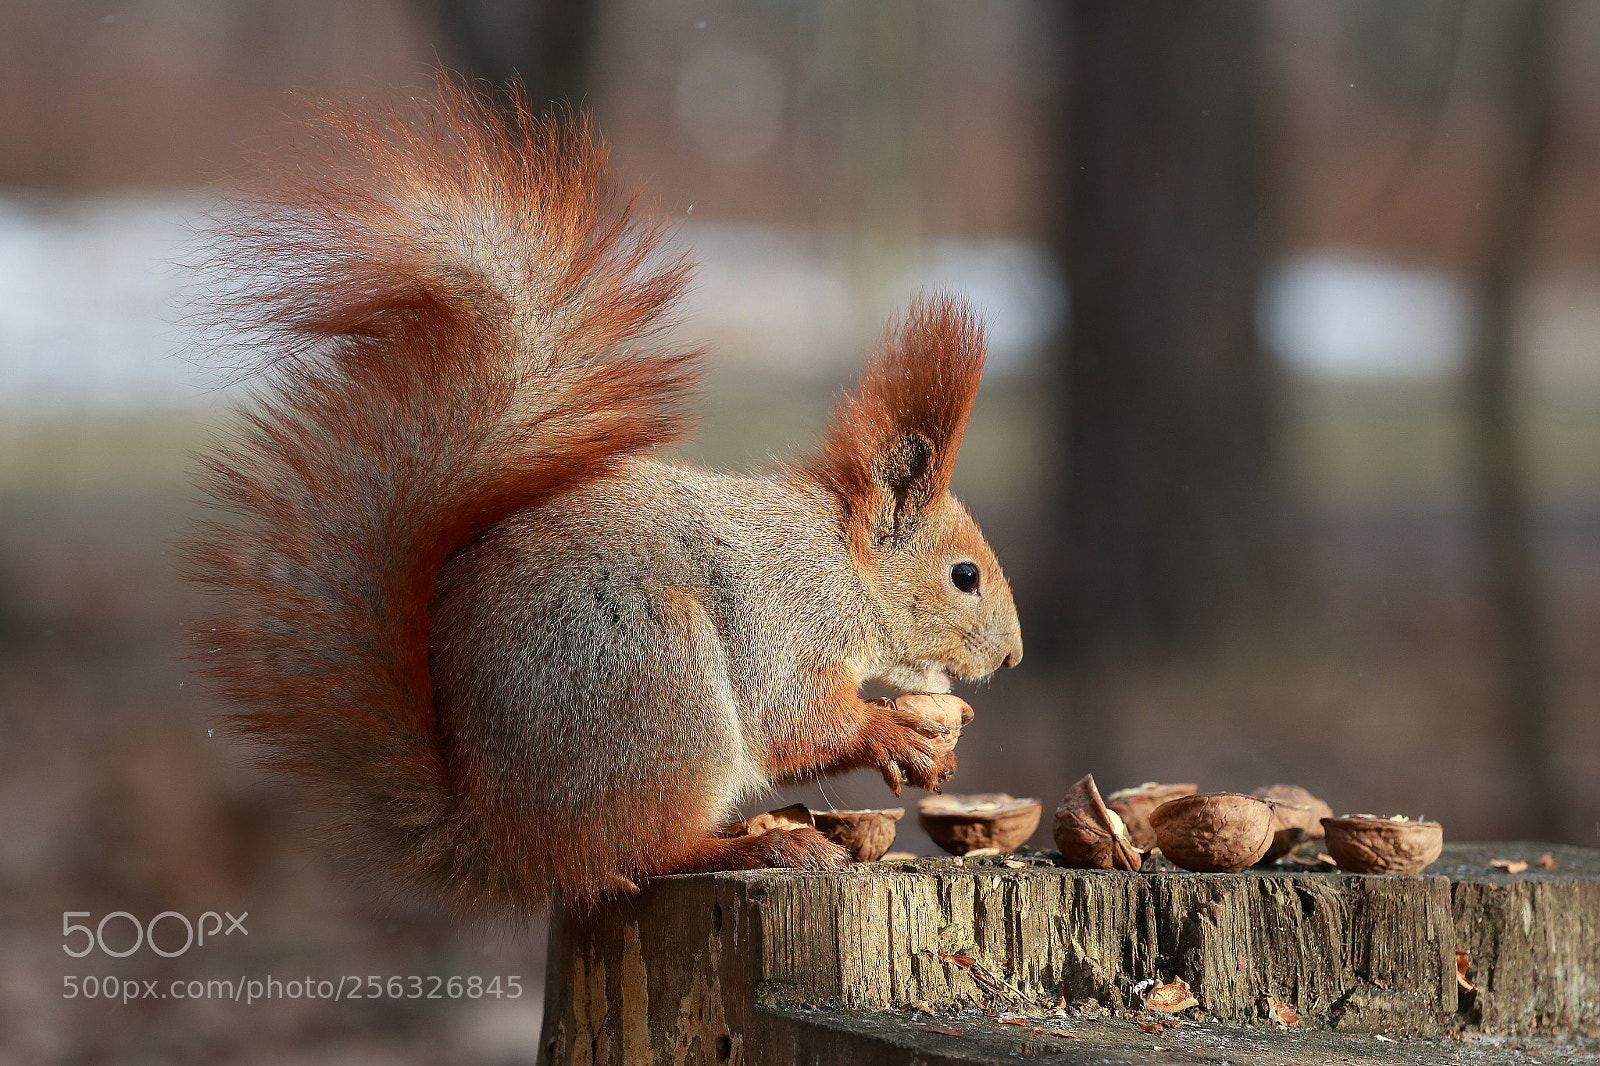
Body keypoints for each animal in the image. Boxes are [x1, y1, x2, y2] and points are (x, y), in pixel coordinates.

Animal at [191, 79, 1023, 921]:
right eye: (964, 576)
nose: (1013, 656)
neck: (842, 564)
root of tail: (504, 839)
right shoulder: (789, 619)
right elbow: (797, 721)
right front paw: (897, 737)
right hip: (656, 680)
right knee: (642, 852)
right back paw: (759, 845)